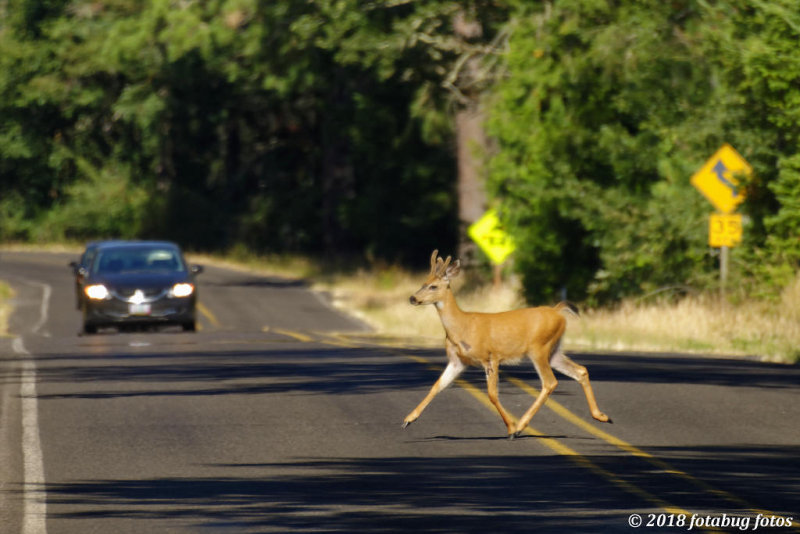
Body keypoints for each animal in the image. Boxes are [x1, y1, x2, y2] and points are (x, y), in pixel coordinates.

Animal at [404, 251, 608, 440]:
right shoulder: (457, 361)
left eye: (433, 286)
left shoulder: (490, 357)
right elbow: (437, 385)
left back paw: (520, 427)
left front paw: (510, 428)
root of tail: (558, 312)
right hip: (554, 350)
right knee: (580, 370)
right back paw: (601, 416)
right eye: (423, 282)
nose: (412, 298)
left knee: (550, 382)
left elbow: (492, 394)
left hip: (539, 348)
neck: (461, 326)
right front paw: (408, 419)